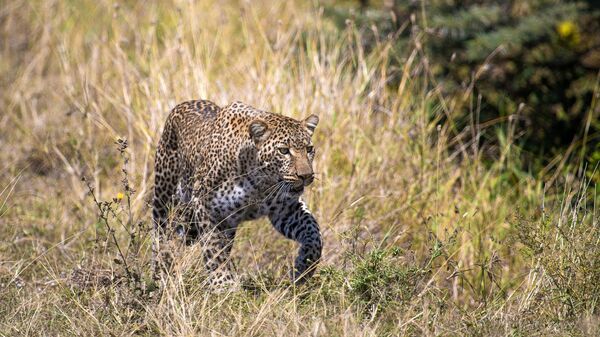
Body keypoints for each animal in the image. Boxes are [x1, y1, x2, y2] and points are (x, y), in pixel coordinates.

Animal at [154, 98, 324, 288]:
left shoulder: (285, 209)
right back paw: (160, 274)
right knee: (161, 237)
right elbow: (214, 248)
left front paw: (303, 268)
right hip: (164, 198)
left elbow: (313, 234)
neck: (260, 184)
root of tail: (184, 103)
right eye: (284, 151)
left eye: (309, 149)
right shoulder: (204, 205)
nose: (306, 175)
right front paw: (223, 285)